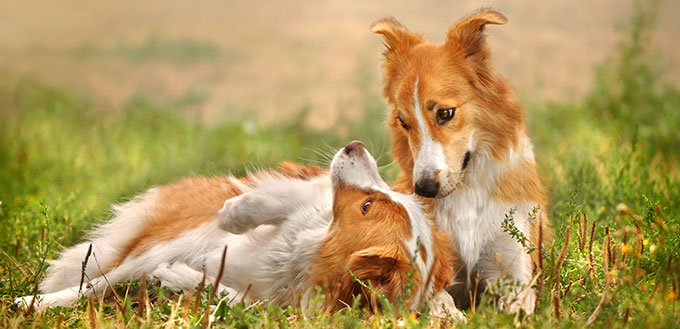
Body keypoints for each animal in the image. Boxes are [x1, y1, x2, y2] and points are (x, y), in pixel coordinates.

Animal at [15, 139, 464, 318]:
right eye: (382, 198)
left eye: (367, 205)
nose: (355, 145)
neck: (301, 259)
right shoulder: (307, 198)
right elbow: (283, 200)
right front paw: (236, 213)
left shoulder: (281, 308)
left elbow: (238, 300)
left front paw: (183, 279)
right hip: (168, 240)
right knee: (97, 282)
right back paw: (32, 302)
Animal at [372, 8, 552, 312]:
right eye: (403, 122)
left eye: (445, 113)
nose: (424, 189)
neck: (467, 191)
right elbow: (438, 298)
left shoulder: (512, 265)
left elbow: (515, 308)